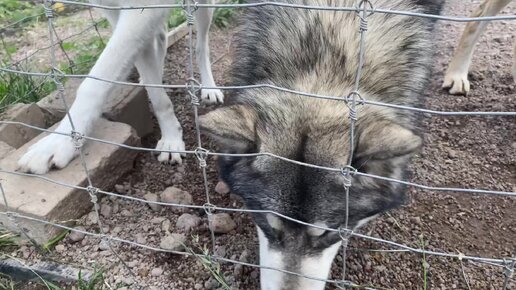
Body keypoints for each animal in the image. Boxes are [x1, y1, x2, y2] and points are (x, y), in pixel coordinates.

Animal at [15, 0, 222, 174]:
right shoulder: (116, 11)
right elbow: (156, 94)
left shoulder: (141, 11)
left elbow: (96, 81)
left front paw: (58, 142)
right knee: (161, 36)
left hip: (204, 7)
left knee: (201, 45)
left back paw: (209, 88)